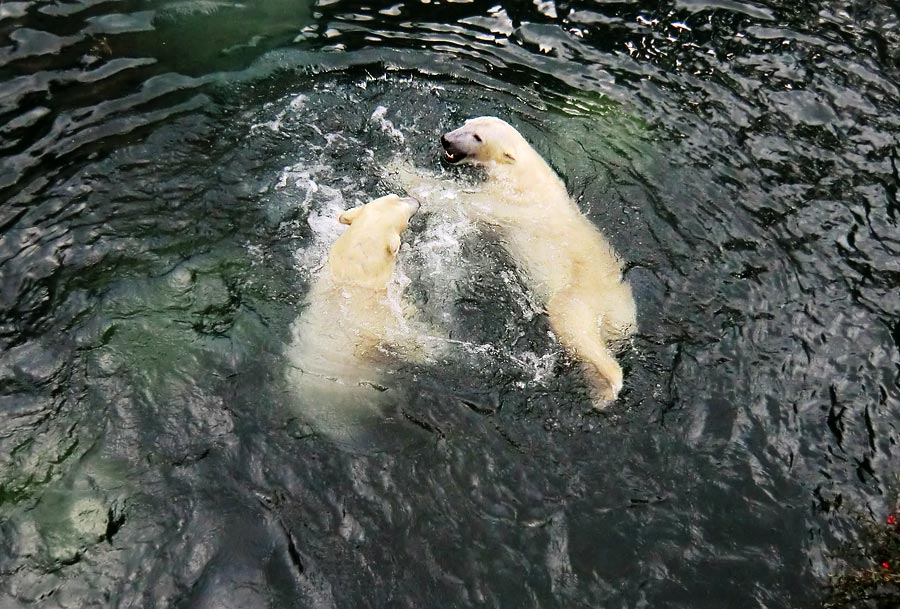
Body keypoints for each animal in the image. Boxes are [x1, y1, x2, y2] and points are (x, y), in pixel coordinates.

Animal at [440, 117, 636, 404]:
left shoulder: (509, 200)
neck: (523, 171)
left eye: (477, 137)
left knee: (573, 327)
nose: (446, 140)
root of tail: (617, 307)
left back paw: (607, 386)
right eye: (467, 123)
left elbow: (460, 201)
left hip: (579, 297)